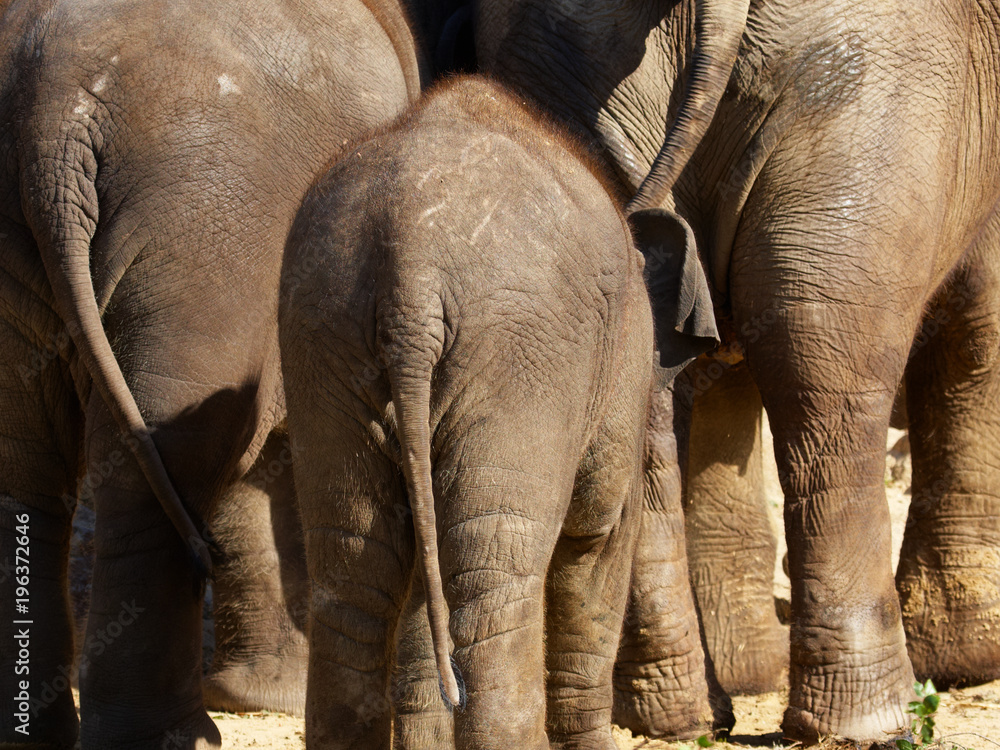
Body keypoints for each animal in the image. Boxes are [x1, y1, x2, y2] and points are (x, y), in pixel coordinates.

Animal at [0, 0, 426, 745]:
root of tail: (50, 114)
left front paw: (260, 696)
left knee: (37, 468)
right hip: (207, 226)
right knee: (171, 457)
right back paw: (169, 736)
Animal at [278, 74, 720, 749]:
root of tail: (412, 267)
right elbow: (599, 532)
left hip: (324, 334)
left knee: (352, 574)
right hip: (519, 360)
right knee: (495, 581)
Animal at [473, 0, 1000, 742]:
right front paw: (969, 664)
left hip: (570, 74)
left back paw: (678, 716)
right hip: (878, 103)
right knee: (829, 376)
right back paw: (865, 724)